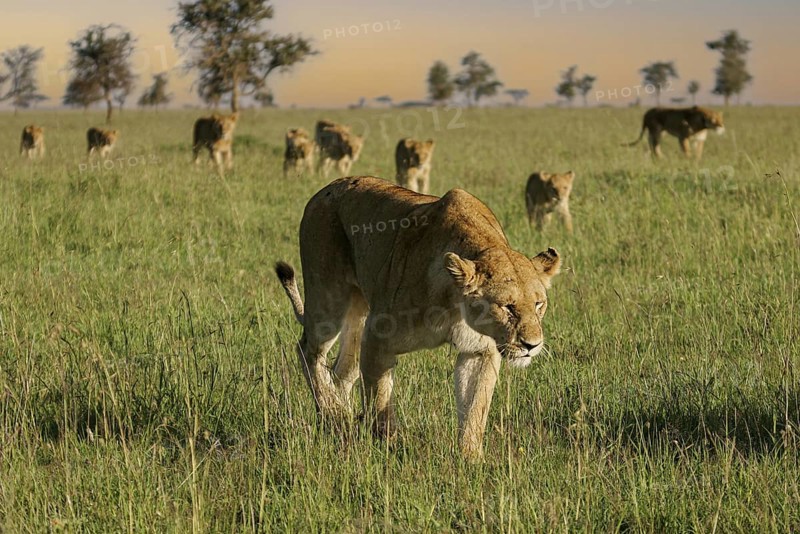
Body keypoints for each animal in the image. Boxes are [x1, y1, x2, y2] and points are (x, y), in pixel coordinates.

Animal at [275, 176, 561, 460]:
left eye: (539, 304)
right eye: (507, 307)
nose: (532, 345)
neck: (454, 302)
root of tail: (325, 189)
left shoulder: (481, 351)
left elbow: (475, 407)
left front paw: (471, 458)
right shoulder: (378, 338)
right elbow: (380, 400)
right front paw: (388, 449)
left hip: (359, 317)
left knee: (341, 371)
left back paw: (342, 420)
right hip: (328, 300)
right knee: (309, 351)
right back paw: (332, 414)